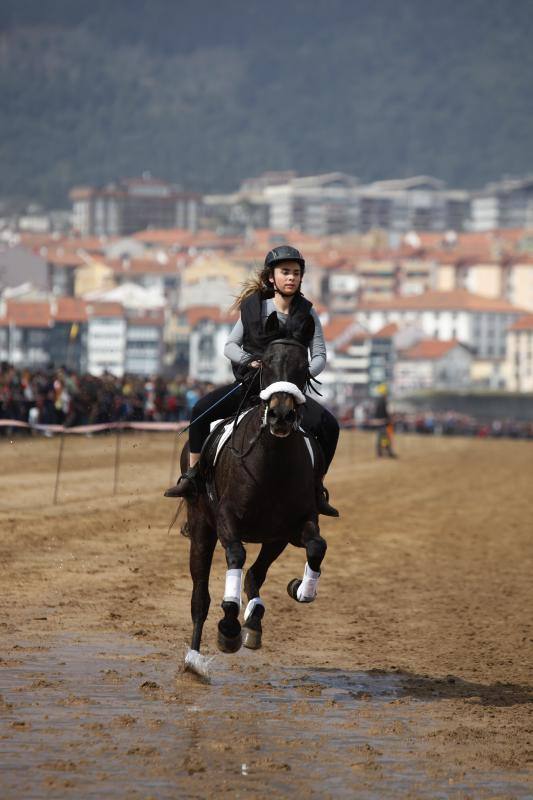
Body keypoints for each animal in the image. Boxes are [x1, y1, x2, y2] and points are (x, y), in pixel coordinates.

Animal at [181, 316, 326, 680]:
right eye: (268, 364)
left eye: (303, 367)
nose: (280, 416)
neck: (271, 463)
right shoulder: (226, 519)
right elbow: (235, 555)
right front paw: (229, 624)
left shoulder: (294, 525)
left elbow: (317, 547)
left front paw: (300, 588)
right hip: (200, 526)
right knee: (200, 597)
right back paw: (194, 659)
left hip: (273, 538)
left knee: (255, 575)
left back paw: (255, 619)